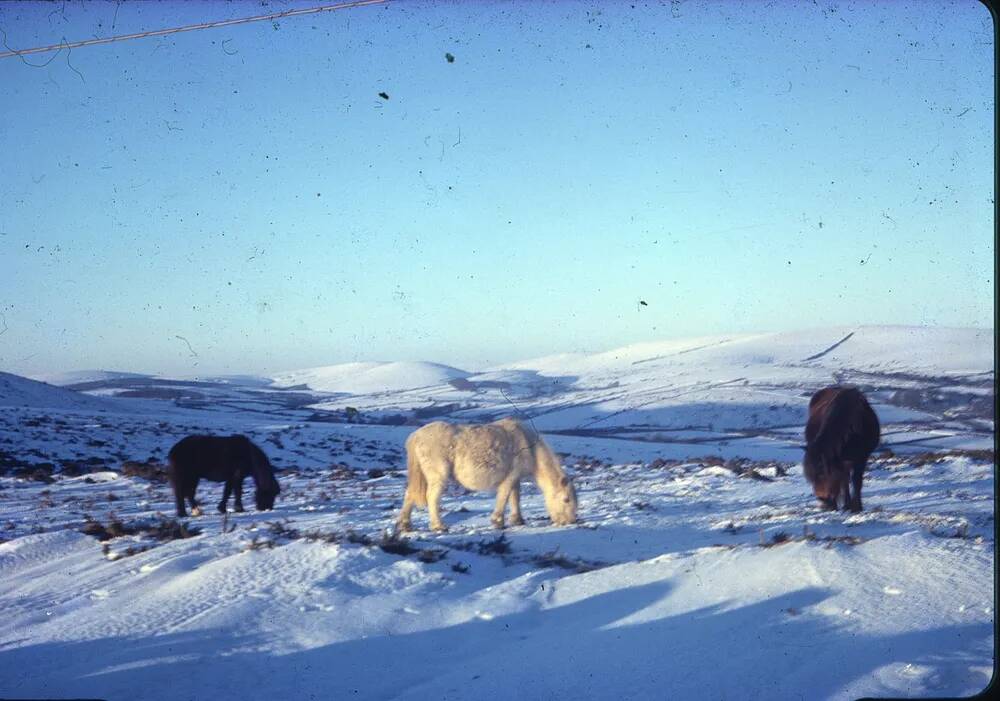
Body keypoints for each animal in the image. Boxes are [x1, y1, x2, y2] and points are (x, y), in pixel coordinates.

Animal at [392, 416, 576, 532]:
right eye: (566, 499)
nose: (570, 521)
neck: (531, 447)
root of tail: (415, 436)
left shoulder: (516, 478)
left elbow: (515, 497)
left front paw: (517, 520)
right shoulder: (510, 475)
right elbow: (504, 496)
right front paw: (498, 521)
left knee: (409, 494)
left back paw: (405, 525)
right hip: (438, 474)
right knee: (431, 497)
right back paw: (439, 526)